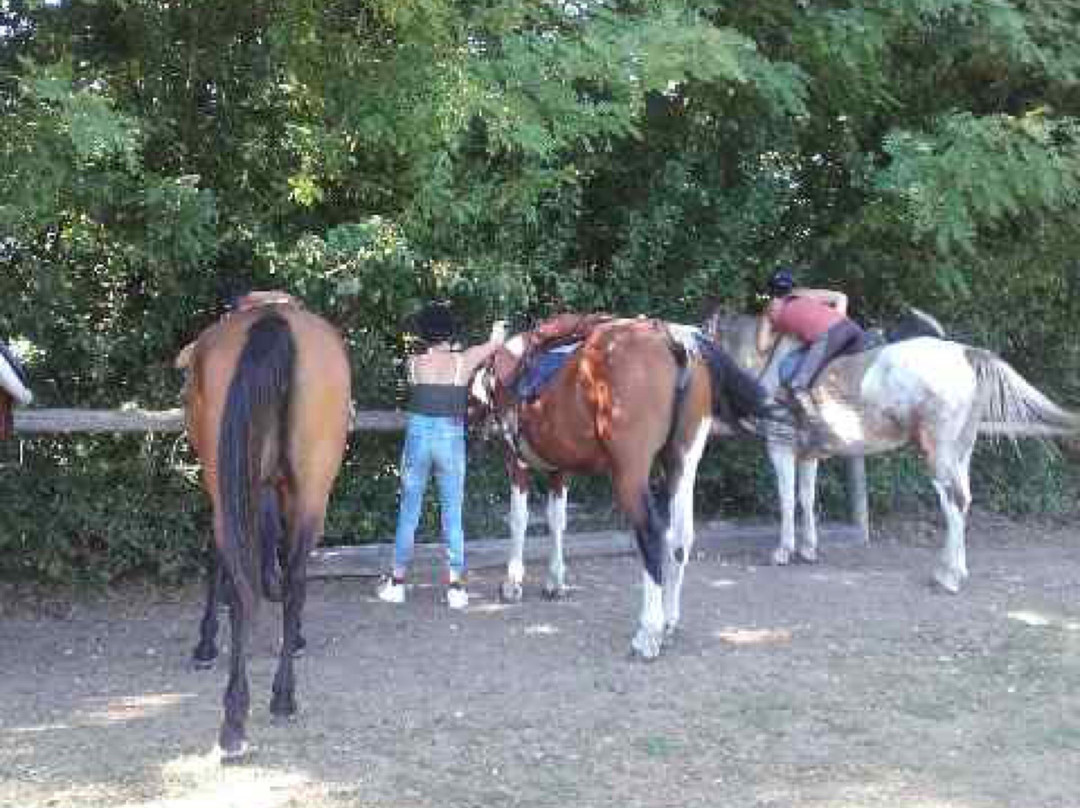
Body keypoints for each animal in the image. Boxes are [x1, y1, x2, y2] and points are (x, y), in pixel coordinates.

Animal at [181, 295, 349, 756]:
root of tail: (273, 317)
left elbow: (220, 556)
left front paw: (206, 642)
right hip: (312, 488)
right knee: (295, 579)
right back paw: (280, 697)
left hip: (228, 483)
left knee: (242, 579)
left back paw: (237, 716)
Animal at [470, 313, 768, 656]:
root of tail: (673, 338)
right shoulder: (561, 470)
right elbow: (557, 520)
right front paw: (555, 581)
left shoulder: (516, 462)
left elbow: (519, 519)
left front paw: (513, 582)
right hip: (681, 465)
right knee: (680, 538)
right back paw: (669, 622)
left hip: (631, 471)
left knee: (651, 533)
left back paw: (648, 633)